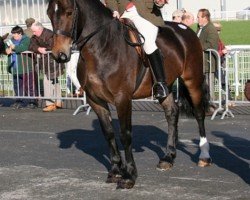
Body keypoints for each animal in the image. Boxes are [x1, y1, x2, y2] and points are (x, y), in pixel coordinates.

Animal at [46, 0, 211, 189]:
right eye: (49, 14)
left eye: (69, 12)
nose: (59, 54)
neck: (101, 47)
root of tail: (185, 28)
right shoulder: (96, 101)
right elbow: (108, 133)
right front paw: (115, 170)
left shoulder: (122, 99)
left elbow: (125, 134)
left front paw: (129, 175)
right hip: (166, 86)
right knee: (172, 112)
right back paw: (168, 157)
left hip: (193, 80)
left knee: (199, 114)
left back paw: (204, 156)